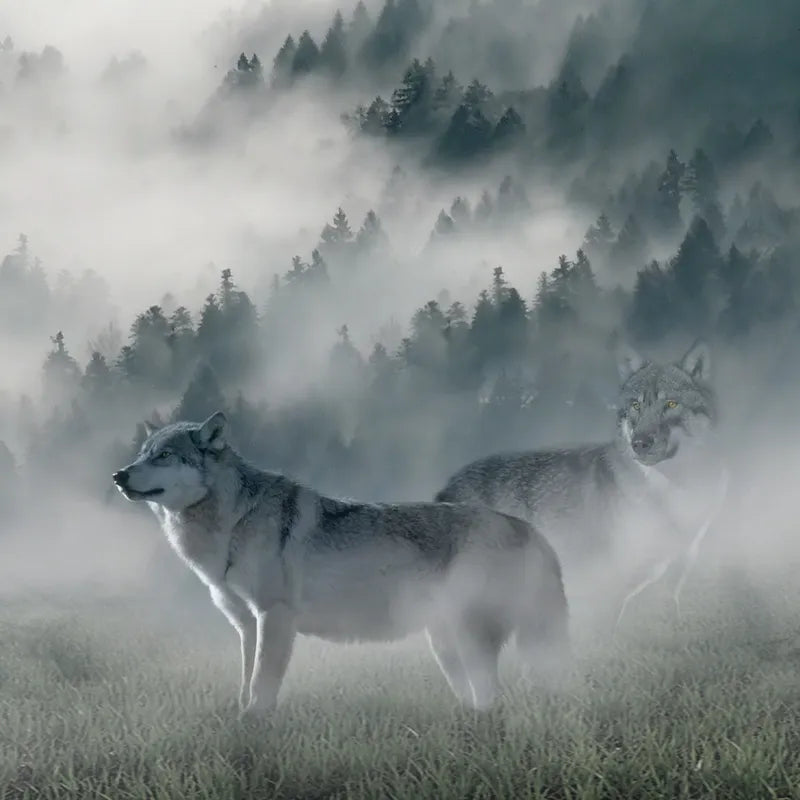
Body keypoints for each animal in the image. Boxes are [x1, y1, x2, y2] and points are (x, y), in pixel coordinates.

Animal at [113, 412, 569, 715]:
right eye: (142, 455)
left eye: (164, 456)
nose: (119, 475)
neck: (233, 522)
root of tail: (525, 527)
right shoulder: (246, 625)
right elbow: (245, 683)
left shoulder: (274, 617)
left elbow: (261, 686)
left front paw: (254, 727)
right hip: (445, 644)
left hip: (470, 639)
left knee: (494, 696)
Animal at [436, 340, 729, 629]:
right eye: (636, 406)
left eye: (671, 404)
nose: (640, 443)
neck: (675, 489)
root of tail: (445, 487)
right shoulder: (611, 583)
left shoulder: (679, 568)